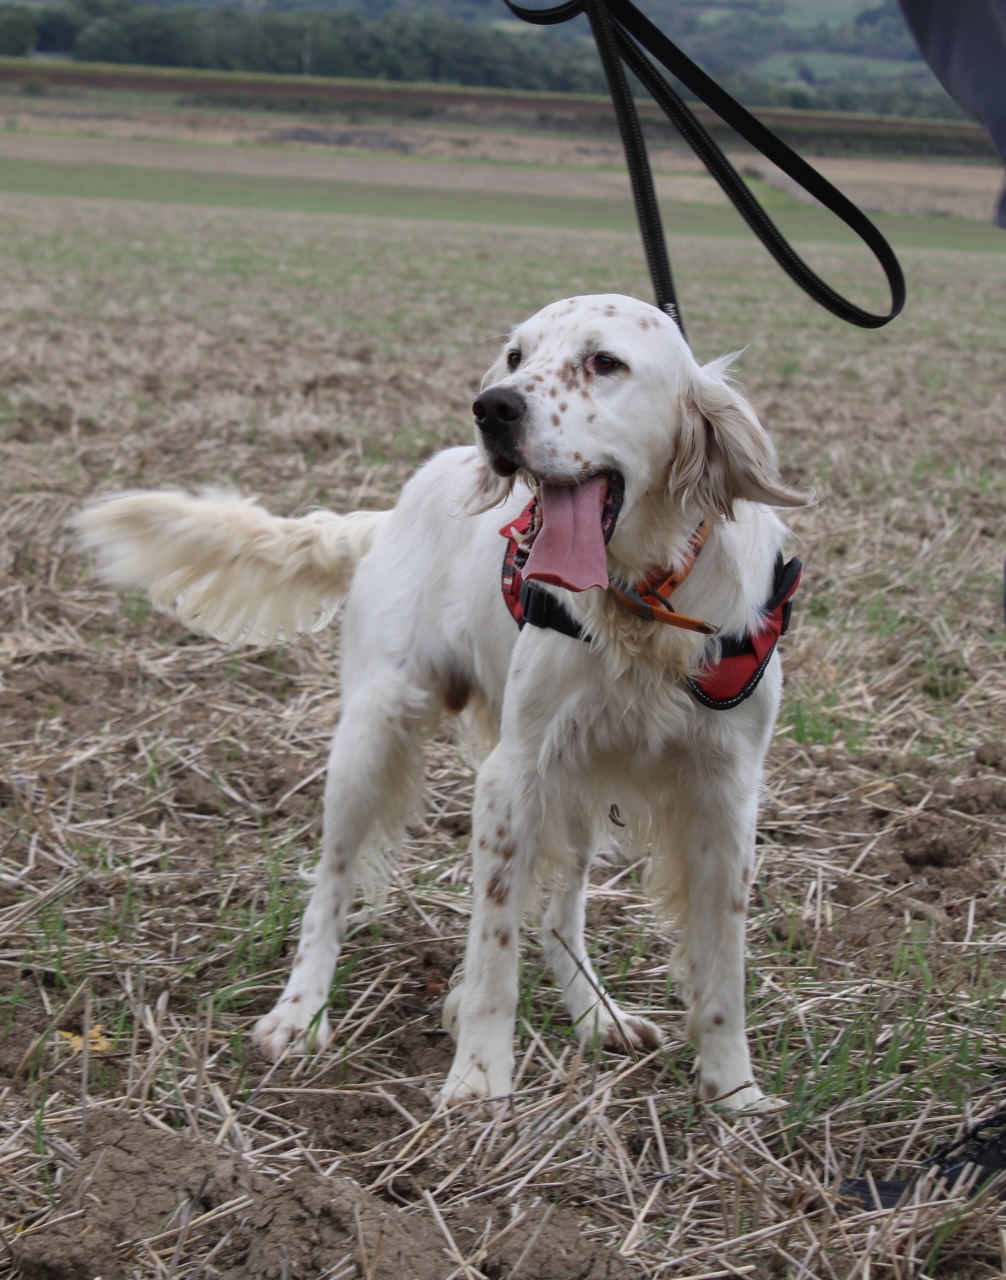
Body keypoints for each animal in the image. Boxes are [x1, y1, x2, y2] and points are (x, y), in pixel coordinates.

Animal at [78, 293, 803, 1111]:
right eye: (516, 357)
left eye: (604, 362)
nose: (492, 408)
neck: (643, 610)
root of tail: (393, 509)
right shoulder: (511, 780)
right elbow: (493, 951)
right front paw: (480, 1081)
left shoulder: (723, 799)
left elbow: (723, 973)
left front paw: (736, 1096)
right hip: (369, 742)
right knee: (329, 888)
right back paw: (299, 1014)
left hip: (575, 785)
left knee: (560, 915)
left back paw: (598, 1015)